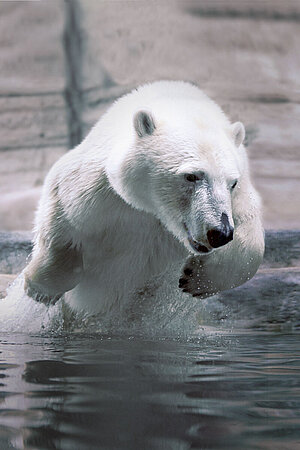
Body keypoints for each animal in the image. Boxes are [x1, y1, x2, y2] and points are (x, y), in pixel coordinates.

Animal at [23, 81, 264, 312]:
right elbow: (64, 207)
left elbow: (251, 238)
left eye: (232, 183)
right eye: (191, 176)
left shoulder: (238, 195)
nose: (220, 233)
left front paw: (197, 279)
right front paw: (41, 288)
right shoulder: (101, 190)